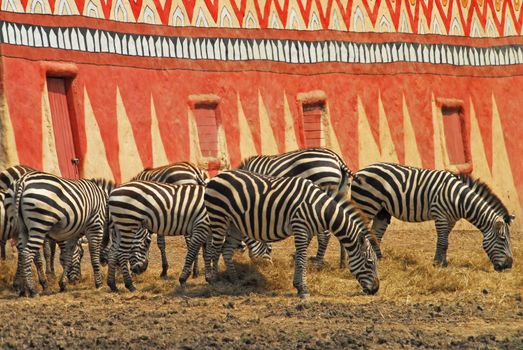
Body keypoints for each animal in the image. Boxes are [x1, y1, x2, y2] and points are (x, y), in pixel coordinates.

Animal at [203, 170, 378, 298]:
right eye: (369, 263)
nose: (376, 289)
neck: (320, 208)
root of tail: (216, 177)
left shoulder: (307, 232)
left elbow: (300, 258)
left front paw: (298, 285)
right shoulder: (300, 227)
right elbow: (301, 260)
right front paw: (304, 290)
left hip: (235, 225)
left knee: (226, 250)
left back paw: (235, 281)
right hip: (218, 217)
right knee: (214, 249)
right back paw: (214, 280)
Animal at [350, 162, 512, 270]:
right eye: (503, 239)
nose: (509, 265)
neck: (459, 198)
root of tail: (360, 171)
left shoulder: (451, 220)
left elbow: (444, 241)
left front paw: (441, 262)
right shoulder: (440, 214)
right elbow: (443, 242)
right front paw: (439, 264)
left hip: (381, 211)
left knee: (375, 234)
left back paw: (379, 259)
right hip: (366, 205)